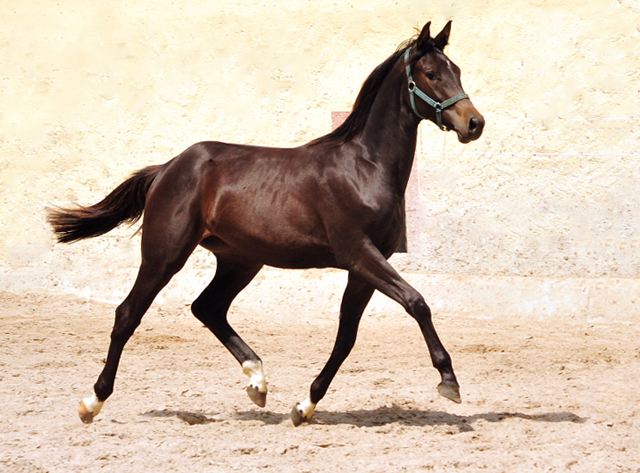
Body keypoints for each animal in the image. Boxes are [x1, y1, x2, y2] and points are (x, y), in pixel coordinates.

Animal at [47, 20, 482, 426]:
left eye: (458, 70)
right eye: (431, 73)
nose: (474, 123)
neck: (364, 168)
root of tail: (168, 168)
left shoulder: (363, 268)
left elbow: (346, 337)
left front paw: (305, 406)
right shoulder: (359, 254)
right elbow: (416, 302)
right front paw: (449, 381)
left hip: (240, 260)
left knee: (207, 308)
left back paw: (257, 381)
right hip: (165, 254)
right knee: (128, 314)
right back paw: (92, 402)